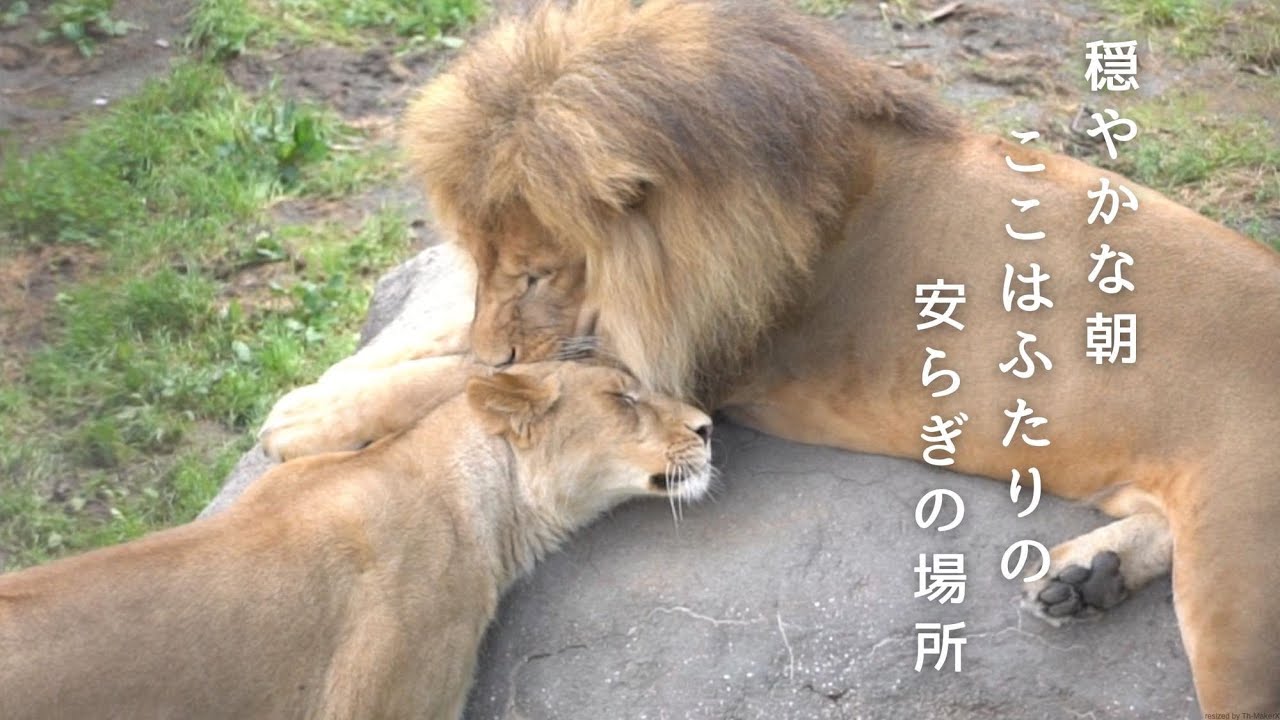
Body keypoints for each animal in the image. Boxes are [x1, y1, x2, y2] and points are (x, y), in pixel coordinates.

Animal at [260, 0, 1280, 711]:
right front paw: (329, 380)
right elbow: (445, 345)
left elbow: (466, 375)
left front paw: (300, 421)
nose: (502, 323)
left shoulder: (686, 361)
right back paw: (1084, 579)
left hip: (1238, 574)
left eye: (539, 271)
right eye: (478, 259)